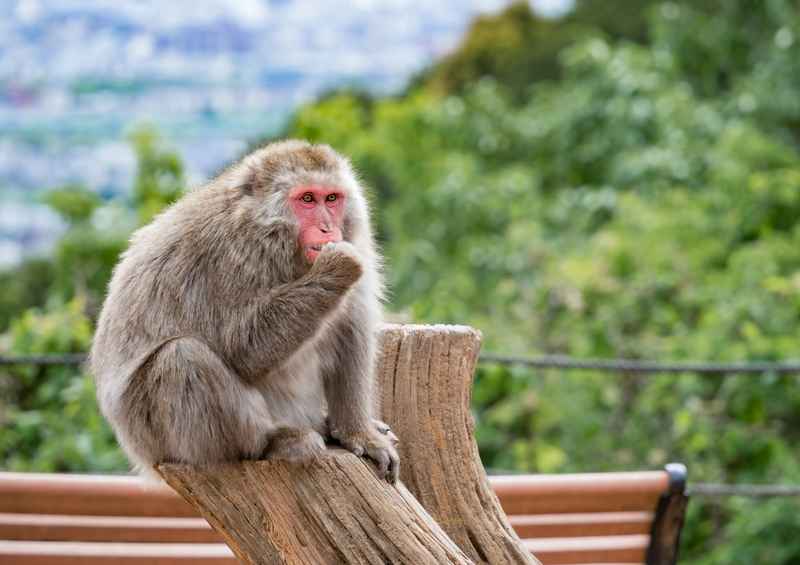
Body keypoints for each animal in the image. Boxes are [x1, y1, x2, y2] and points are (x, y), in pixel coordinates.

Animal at [90, 139, 399, 482]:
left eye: (331, 199)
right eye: (307, 198)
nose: (327, 228)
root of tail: (141, 456)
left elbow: (350, 330)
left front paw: (357, 433)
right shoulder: (230, 254)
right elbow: (243, 348)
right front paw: (336, 267)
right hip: (153, 437)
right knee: (182, 357)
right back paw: (270, 443)